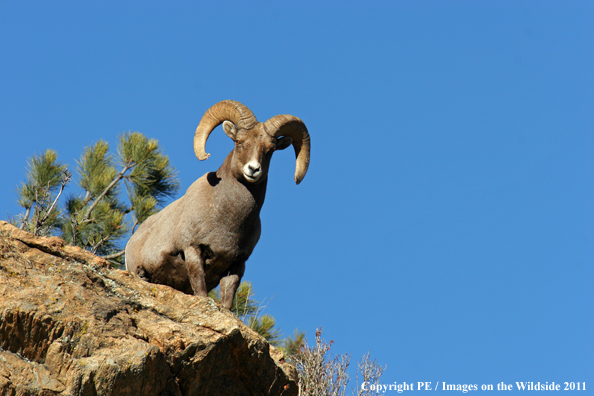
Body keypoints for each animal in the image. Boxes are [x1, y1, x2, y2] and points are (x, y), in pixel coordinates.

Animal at [124, 100, 310, 310]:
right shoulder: (193, 250)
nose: (253, 169)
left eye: (270, 149)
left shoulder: (236, 264)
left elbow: (228, 298)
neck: (227, 219)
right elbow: (200, 288)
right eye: (239, 142)